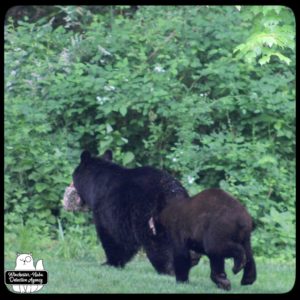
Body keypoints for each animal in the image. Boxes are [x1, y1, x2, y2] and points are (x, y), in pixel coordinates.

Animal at [72, 150, 200, 274]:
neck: (95, 184)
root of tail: (174, 193)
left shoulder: (106, 210)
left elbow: (111, 236)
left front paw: (110, 262)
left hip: (149, 218)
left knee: (157, 245)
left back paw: (167, 268)